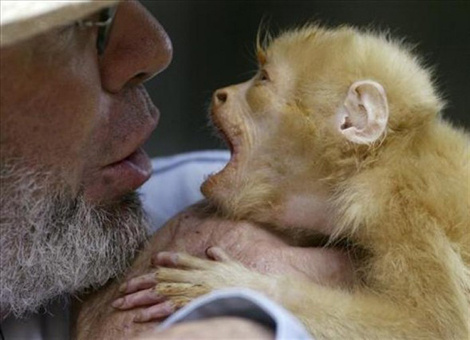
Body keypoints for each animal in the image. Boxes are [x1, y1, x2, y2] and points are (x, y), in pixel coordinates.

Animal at [115, 25, 468, 338]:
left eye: (262, 79)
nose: (222, 94)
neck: (379, 161)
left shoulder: (405, 214)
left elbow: (430, 328)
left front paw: (244, 286)